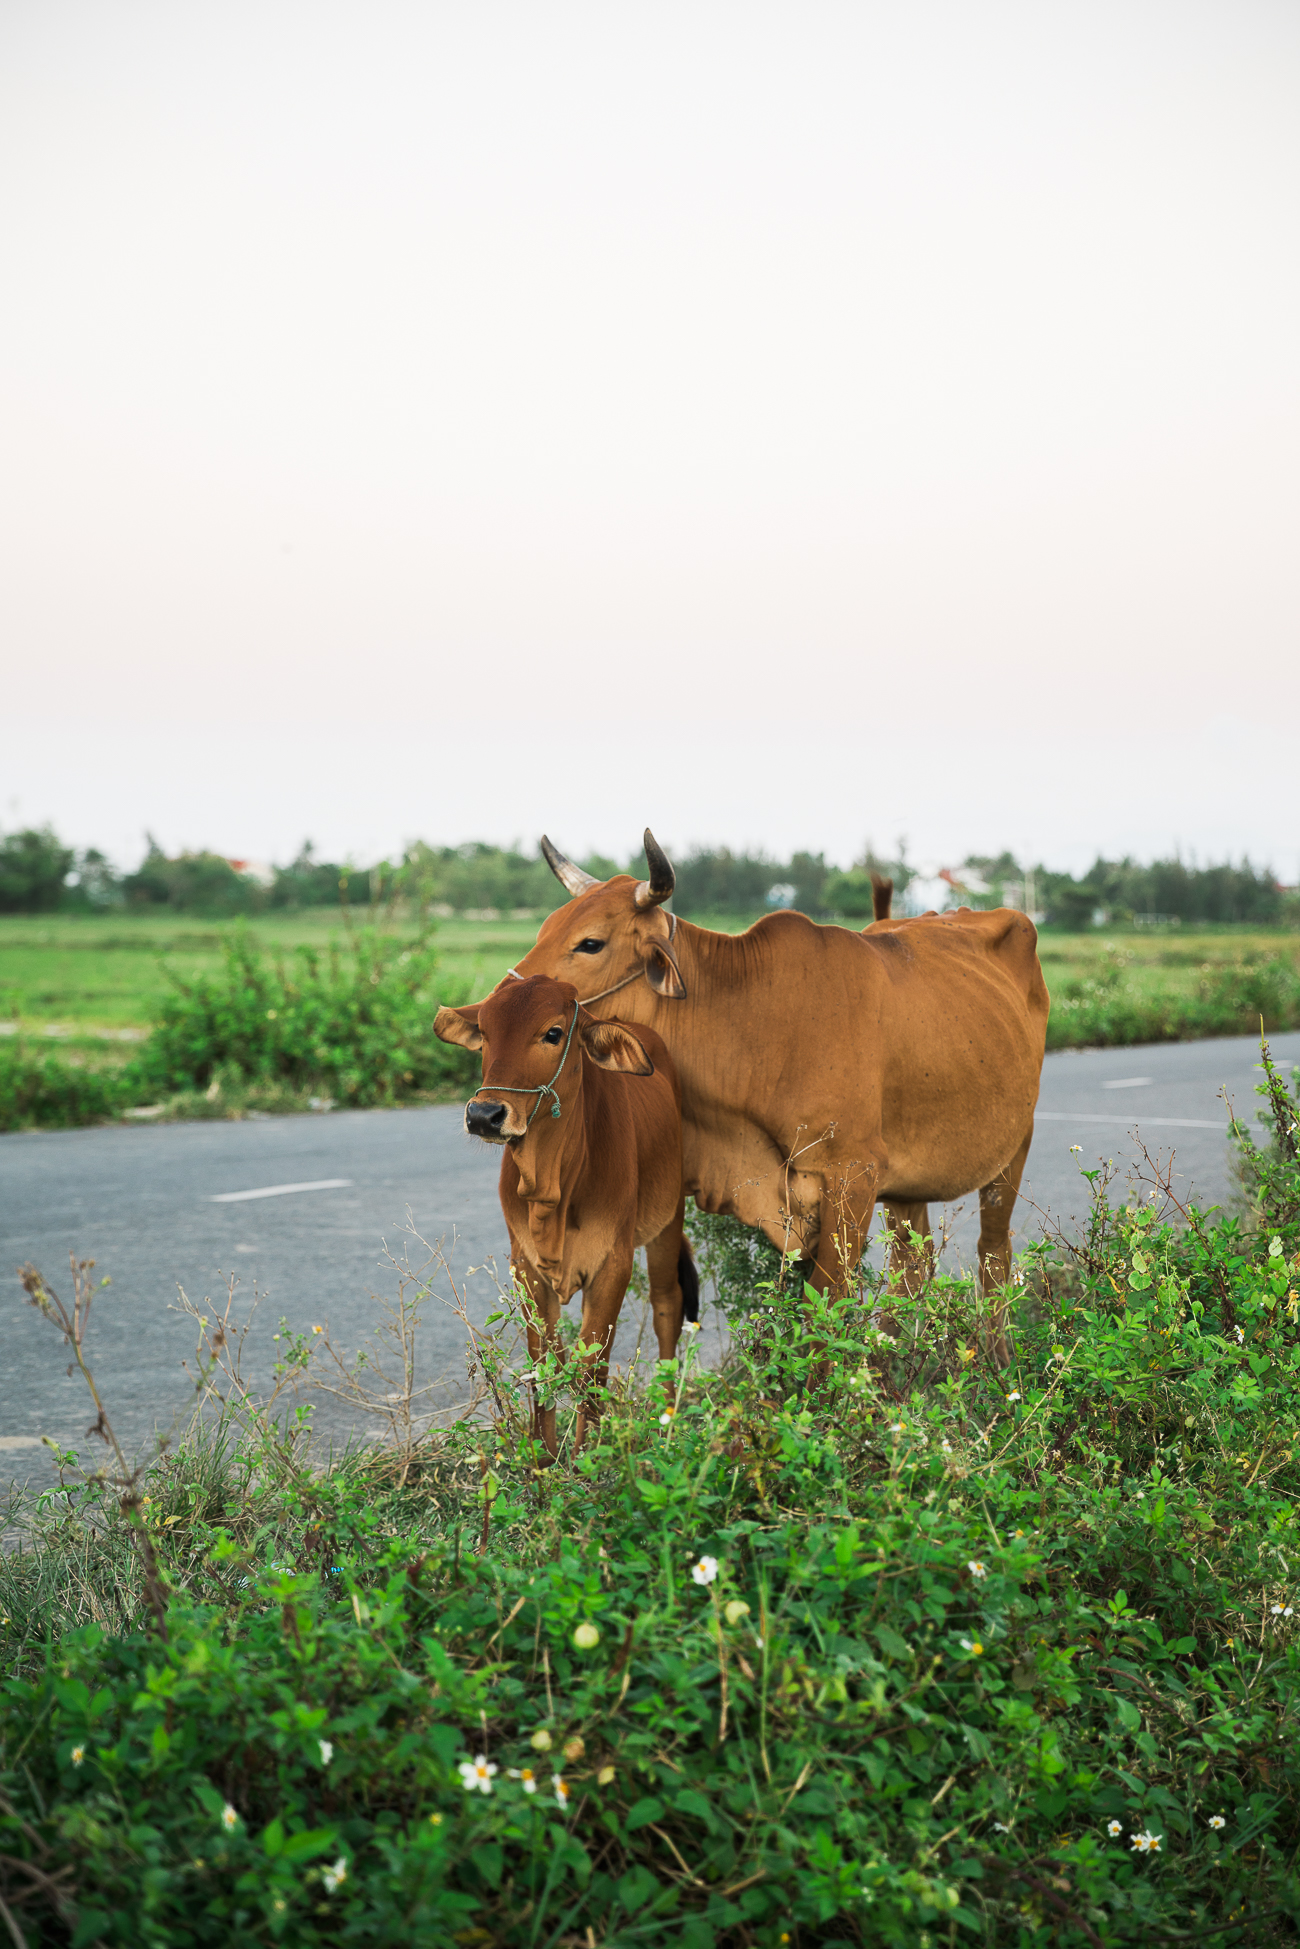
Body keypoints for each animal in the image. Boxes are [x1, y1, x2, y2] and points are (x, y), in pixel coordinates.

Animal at [432, 974, 697, 1465]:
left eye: (553, 1033)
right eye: (485, 1033)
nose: (484, 1115)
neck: (553, 1186)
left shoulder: (613, 1264)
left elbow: (592, 1366)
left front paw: (587, 1457)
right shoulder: (525, 1266)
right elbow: (544, 1362)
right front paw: (543, 1456)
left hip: (669, 1220)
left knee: (667, 1306)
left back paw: (666, 1415)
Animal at [483, 830, 1052, 1364]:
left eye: (591, 943)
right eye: (545, 929)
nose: (496, 1006)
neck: (753, 1021)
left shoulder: (854, 1180)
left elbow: (825, 1311)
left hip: (1014, 1146)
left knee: (993, 1253)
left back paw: (996, 1358)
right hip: (907, 1185)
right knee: (913, 1266)